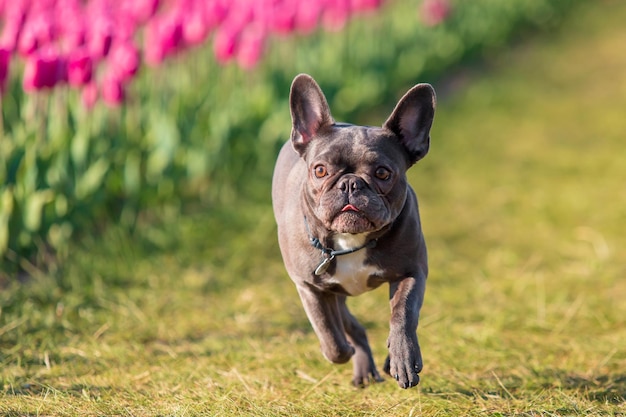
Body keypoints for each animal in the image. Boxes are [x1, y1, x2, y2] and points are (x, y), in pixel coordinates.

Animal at [268, 73, 434, 388]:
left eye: (382, 173)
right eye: (320, 170)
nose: (350, 183)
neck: (351, 242)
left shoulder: (412, 272)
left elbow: (403, 314)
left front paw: (402, 358)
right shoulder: (309, 287)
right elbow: (330, 335)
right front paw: (343, 350)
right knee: (347, 325)